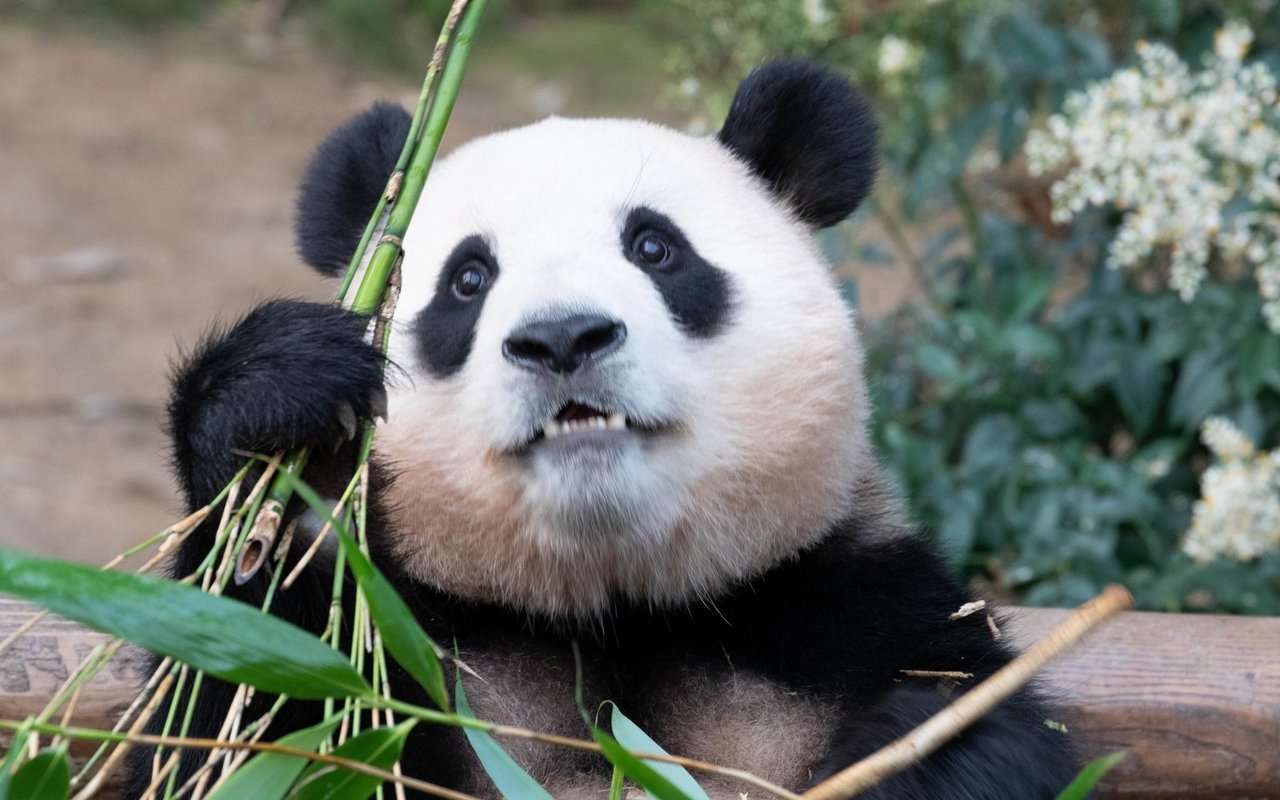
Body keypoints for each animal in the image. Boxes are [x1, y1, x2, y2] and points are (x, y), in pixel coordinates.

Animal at [128, 61, 1080, 799]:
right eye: (469, 278)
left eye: (655, 248)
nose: (562, 339)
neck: (612, 607)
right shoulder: (389, 641)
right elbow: (220, 725)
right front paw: (273, 398)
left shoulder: (845, 611)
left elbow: (964, 728)